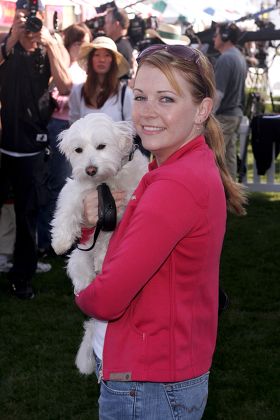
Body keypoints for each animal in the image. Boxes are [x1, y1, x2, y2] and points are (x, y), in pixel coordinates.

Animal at [52, 114, 149, 374]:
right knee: (84, 282)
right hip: (77, 260)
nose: (90, 169)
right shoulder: (77, 191)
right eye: (78, 150)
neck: (105, 183)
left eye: (101, 146)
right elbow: (66, 211)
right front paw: (60, 241)